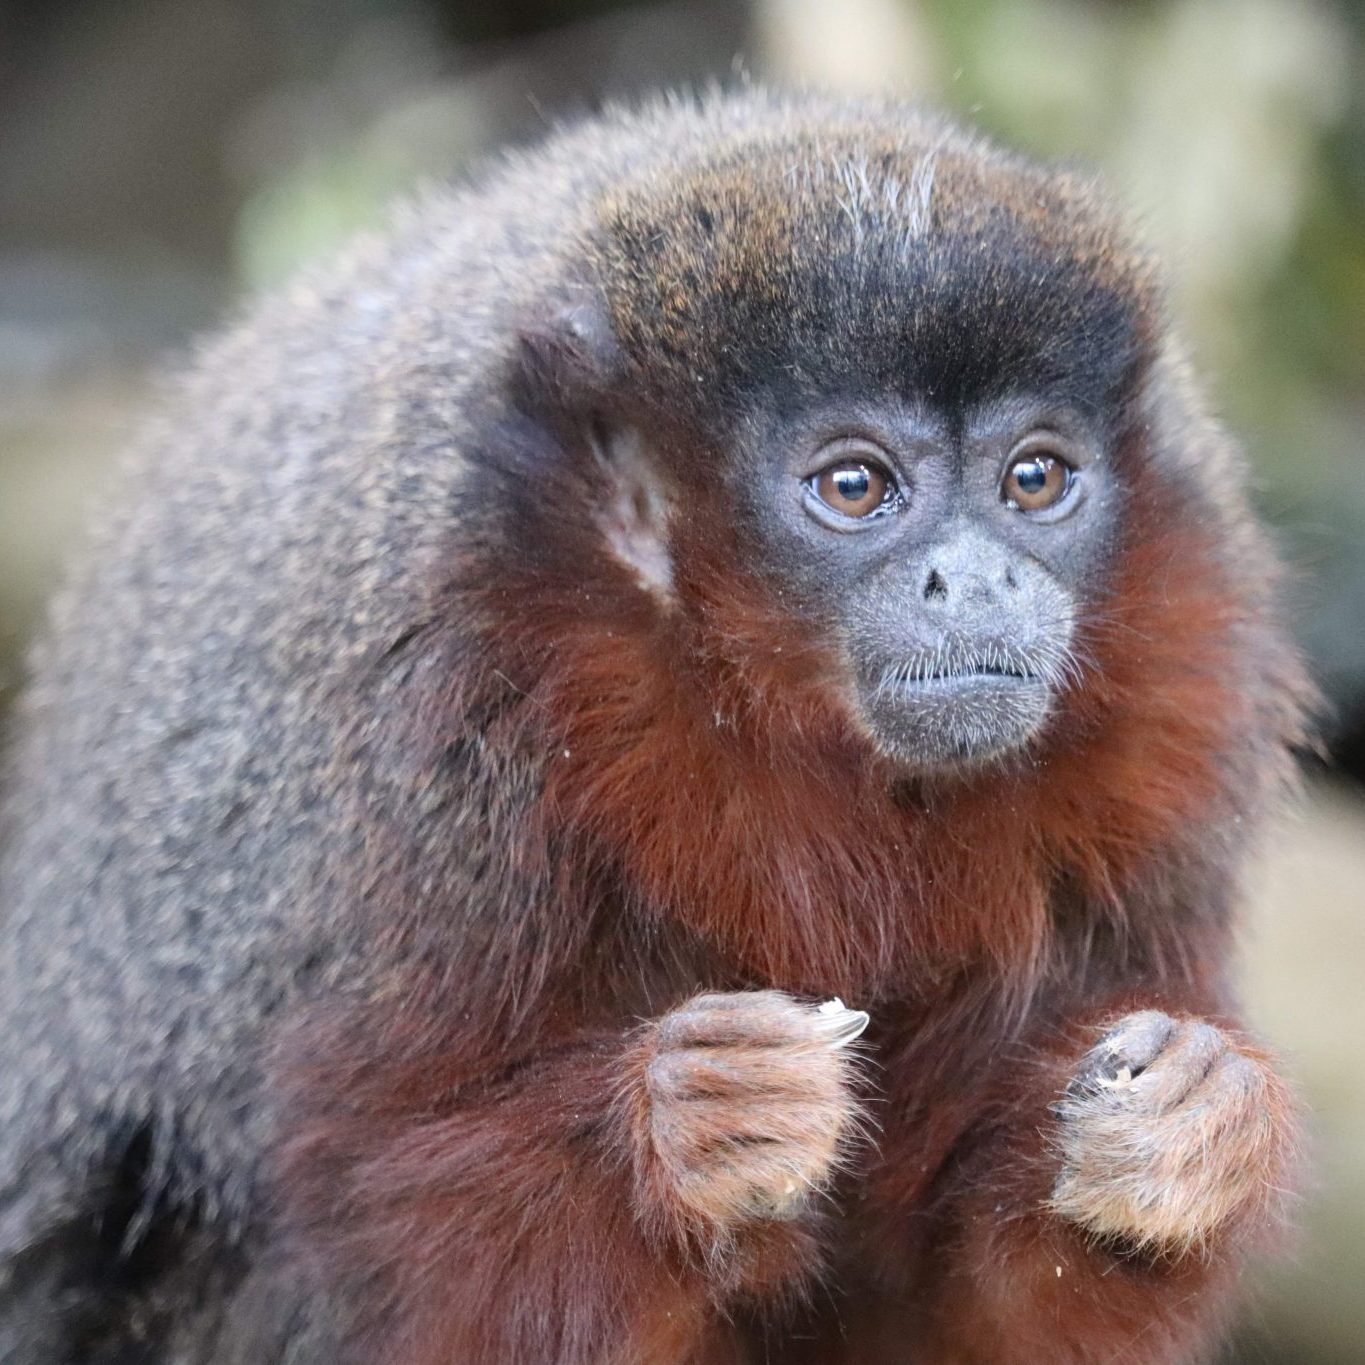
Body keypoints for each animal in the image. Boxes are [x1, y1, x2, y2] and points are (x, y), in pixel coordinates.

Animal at [0, 90, 1310, 1359]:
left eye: (1034, 479)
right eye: (855, 487)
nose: (978, 581)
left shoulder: (1178, 714)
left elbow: (949, 1308)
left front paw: (1187, 1130)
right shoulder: (427, 713)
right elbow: (369, 1221)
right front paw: (682, 1130)